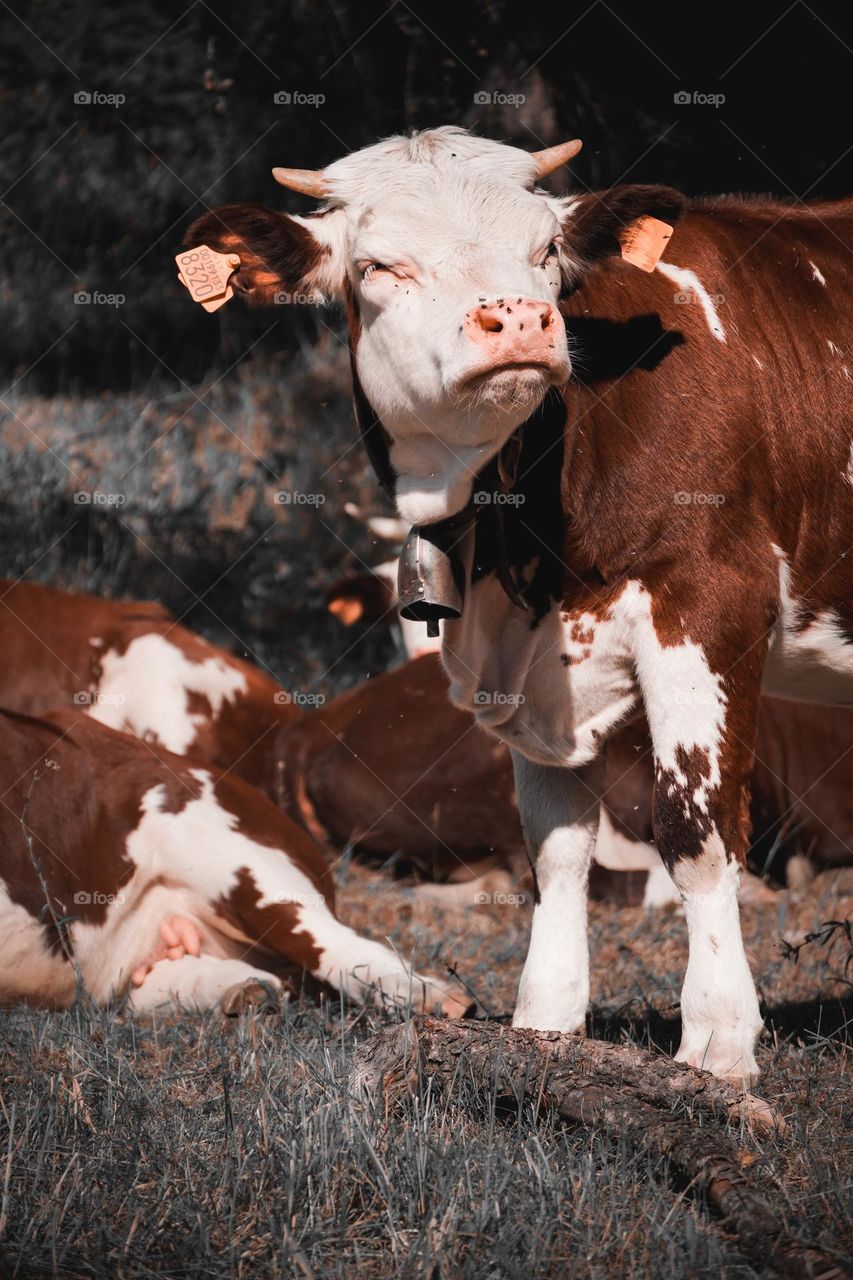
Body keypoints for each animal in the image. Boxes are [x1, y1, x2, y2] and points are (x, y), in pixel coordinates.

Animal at [186, 125, 853, 1082]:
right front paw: (546, 1022)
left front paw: (718, 1040)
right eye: (377, 266)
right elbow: (557, 848)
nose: (521, 319)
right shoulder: (526, 670)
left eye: (545, 254)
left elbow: (696, 830)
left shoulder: (710, 606)